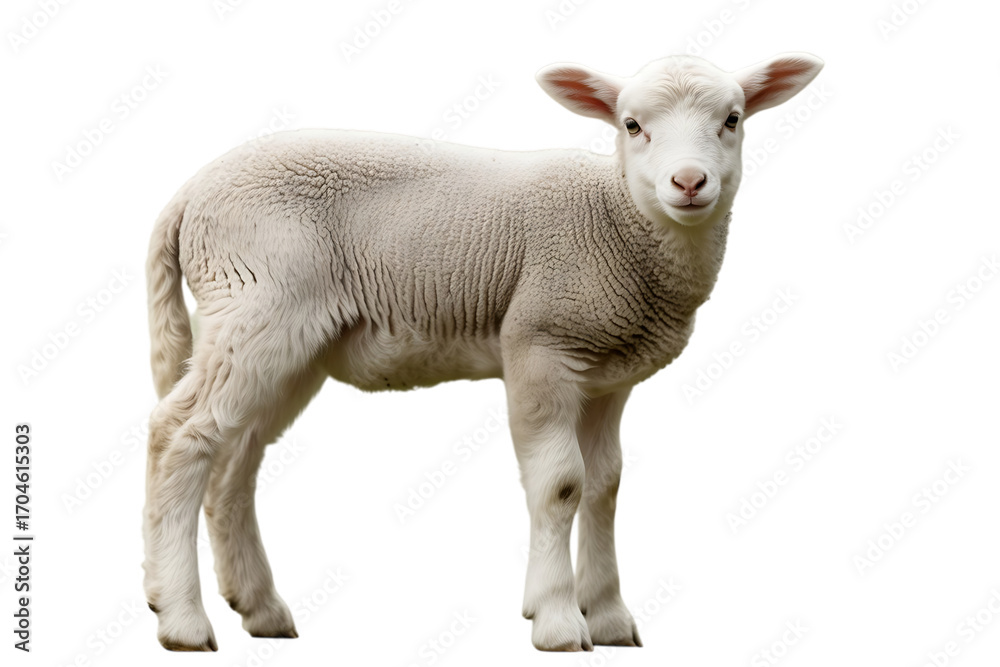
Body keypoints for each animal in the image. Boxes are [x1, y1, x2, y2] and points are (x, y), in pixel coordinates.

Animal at [142, 51, 823, 652]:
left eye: (733, 118)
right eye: (632, 125)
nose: (689, 182)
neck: (617, 217)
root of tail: (188, 195)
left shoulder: (610, 374)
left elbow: (605, 485)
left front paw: (606, 617)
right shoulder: (541, 345)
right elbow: (561, 484)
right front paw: (557, 621)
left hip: (281, 336)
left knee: (235, 458)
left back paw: (259, 609)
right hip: (258, 302)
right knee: (179, 434)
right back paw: (179, 618)